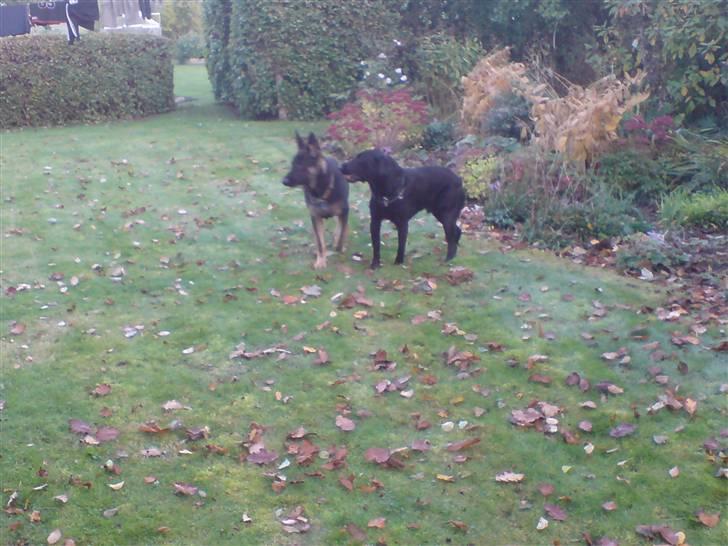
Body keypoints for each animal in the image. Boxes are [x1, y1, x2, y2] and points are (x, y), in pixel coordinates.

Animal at [282, 132, 350, 268]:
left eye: (299, 165)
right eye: (292, 164)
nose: (284, 181)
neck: (322, 191)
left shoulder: (345, 212)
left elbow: (341, 235)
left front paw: (339, 247)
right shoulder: (315, 217)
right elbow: (320, 242)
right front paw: (321, 260)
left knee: (340, 226)